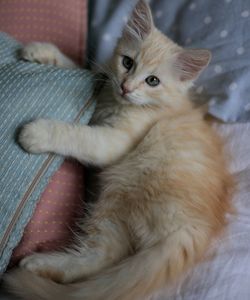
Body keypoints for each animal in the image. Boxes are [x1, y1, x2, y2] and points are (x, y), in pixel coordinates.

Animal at [5, 0, 232, 300]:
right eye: (127, 63)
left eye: (152, 81)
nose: (126, 87)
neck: (116, 101)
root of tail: (194, 230)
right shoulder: (105, 80)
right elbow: (87, 69)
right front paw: (42, 52)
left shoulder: (116, 142)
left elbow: (78, 135)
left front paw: (37, 132)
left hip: (118, 192)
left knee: (101, 257)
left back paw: (34, 264)